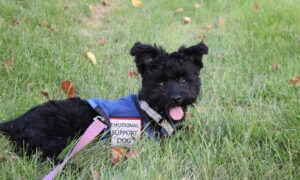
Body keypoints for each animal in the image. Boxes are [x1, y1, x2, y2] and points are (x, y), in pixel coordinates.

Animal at [0, 41, 209, 159]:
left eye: (183, 80)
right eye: (161, 83)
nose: (176, 98)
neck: (150, 112)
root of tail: (13, 123)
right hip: (52, 140)